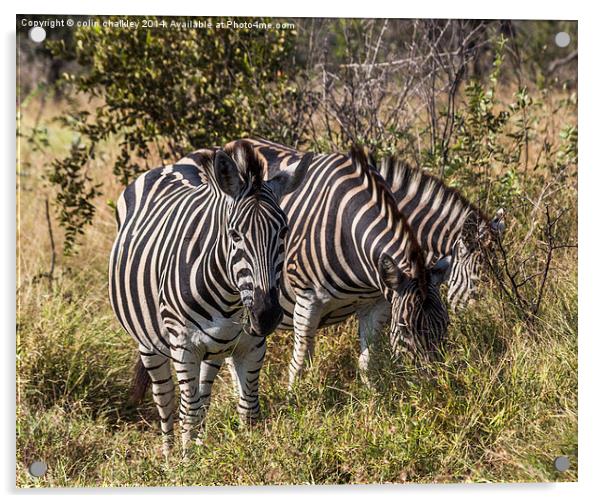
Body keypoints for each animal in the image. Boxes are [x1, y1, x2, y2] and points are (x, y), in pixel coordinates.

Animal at [108, 140, 312, 454]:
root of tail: (167, 166)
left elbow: (247, 409)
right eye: (235, 235)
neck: (230, 297)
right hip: (148, 343)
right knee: (166, 399)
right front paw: (186, 462)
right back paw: (168, 455)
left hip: (213, 352)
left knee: (203, 397)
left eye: (284, 231)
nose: (265, 315)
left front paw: (247, 455)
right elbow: (188, 412)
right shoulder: (184, 348)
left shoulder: (252, 347)